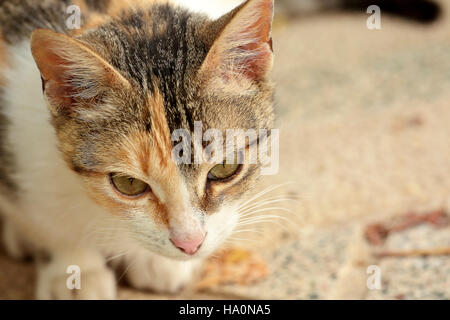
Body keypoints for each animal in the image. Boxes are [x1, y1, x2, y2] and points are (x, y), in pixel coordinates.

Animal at [0, 0, 274, 298]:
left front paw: (155, 261)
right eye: (128, 183)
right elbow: (48, 218)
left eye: (225, 168)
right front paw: (75, 270)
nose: (190, 243)